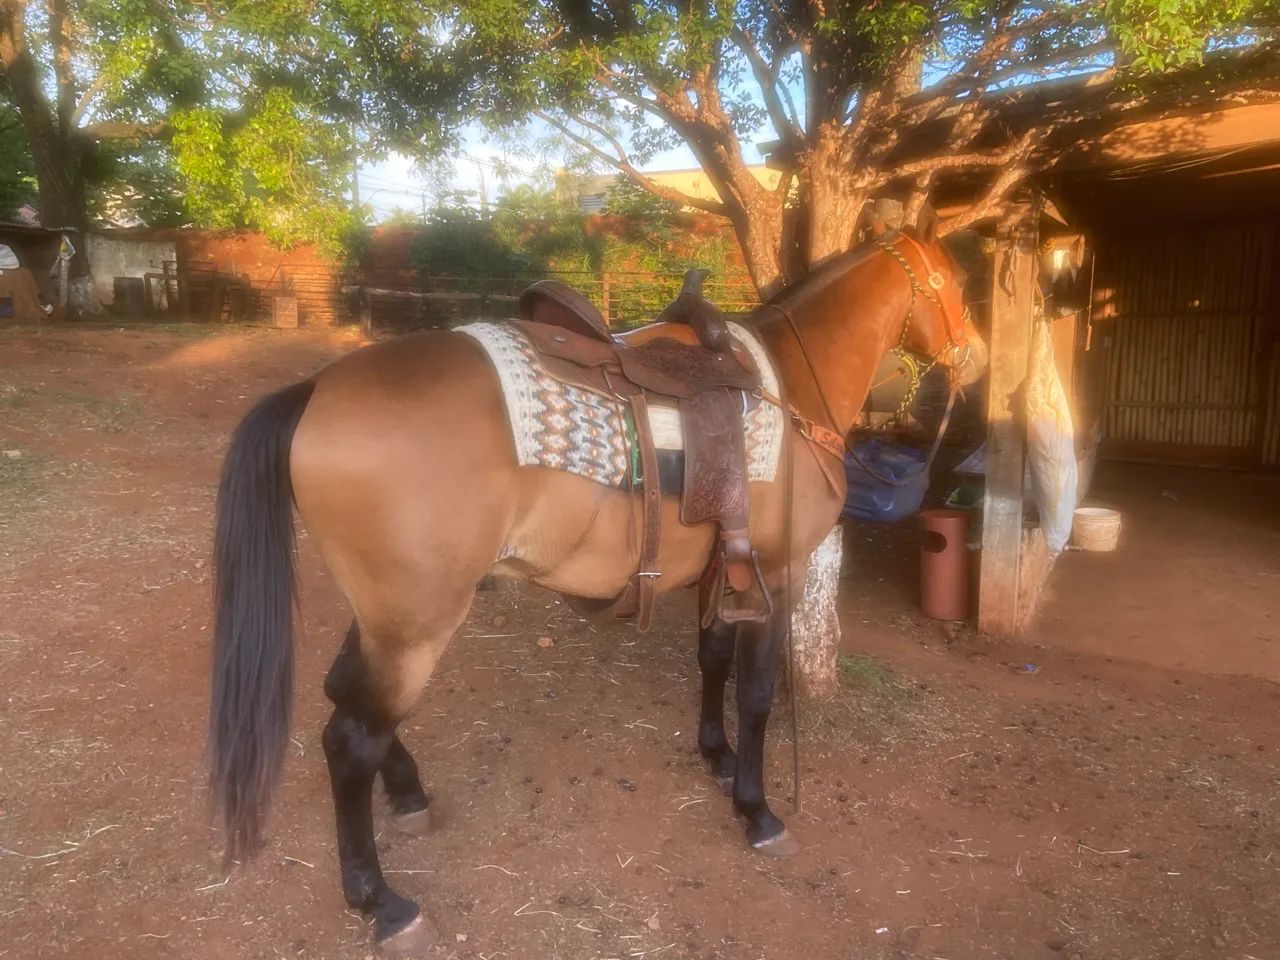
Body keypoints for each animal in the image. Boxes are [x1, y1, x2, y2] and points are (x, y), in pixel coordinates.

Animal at [207, 221, 988, 956]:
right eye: (954, 281)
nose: (978, 358)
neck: (791, 382)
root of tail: (316, 390)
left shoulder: (724, 568)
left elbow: (712, 660)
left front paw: (716, 755)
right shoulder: (777, 571)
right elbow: (759, 693)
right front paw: (758, 811)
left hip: (386, 616)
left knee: (348, 695)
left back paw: (408, 794)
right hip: (416, 625)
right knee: (351, 738)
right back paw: (382, 902)